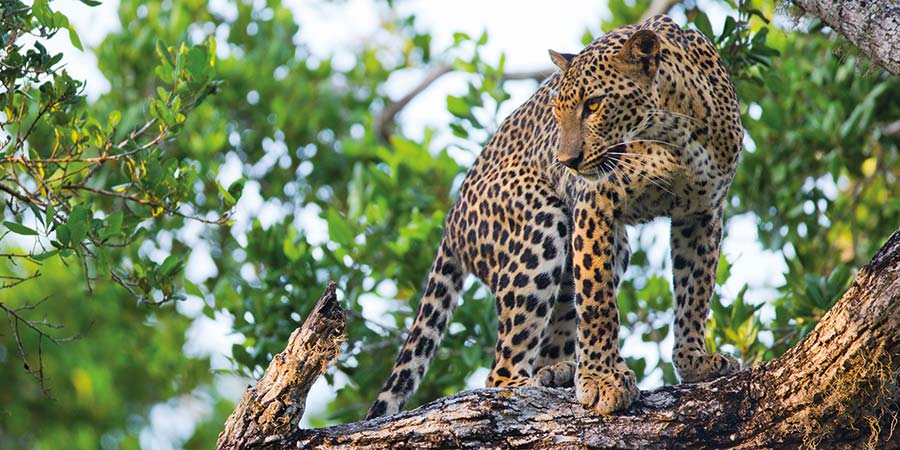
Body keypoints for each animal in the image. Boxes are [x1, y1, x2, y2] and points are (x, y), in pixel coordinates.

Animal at [366, 14, 743, 419]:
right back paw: (528, 383)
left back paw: (557, 371)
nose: (567, 162)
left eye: (593, 105)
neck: (677, 133)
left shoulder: (702, 212)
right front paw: (603, 380)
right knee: (499, 371)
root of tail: (452, 218)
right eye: (557, 112)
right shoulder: (595, 201)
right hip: (540, 229)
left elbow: (695, 292)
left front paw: (694, 362)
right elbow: (597, 302)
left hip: (610, 248)